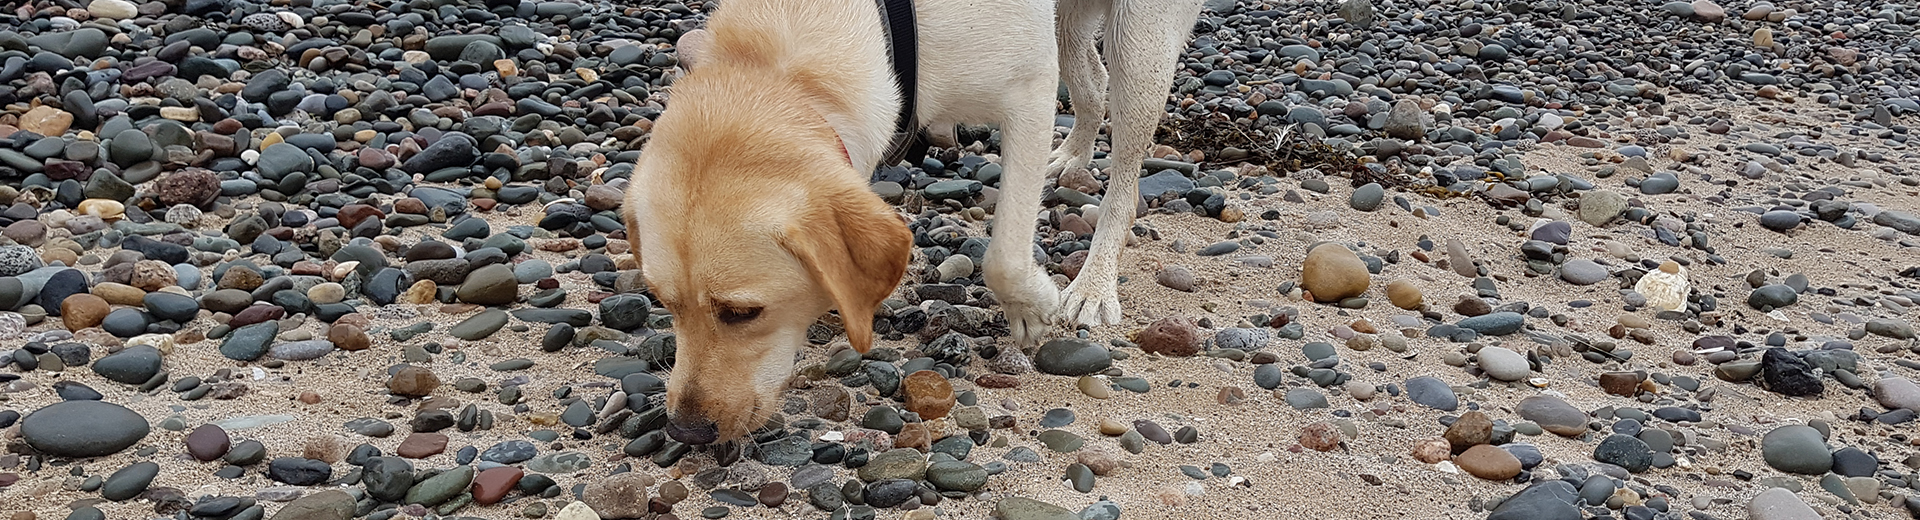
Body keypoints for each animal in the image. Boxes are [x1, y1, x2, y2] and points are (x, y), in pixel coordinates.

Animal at [625, 0, 1198, 445]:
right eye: (663, 302)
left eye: (742, 313)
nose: (684, 431)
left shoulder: (1028, 88)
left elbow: (1005, 254)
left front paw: (1033, 306)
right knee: (1093, 84)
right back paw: (1072, 155)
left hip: (1139, 42)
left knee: (1125, 174)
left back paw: (1094, 283)